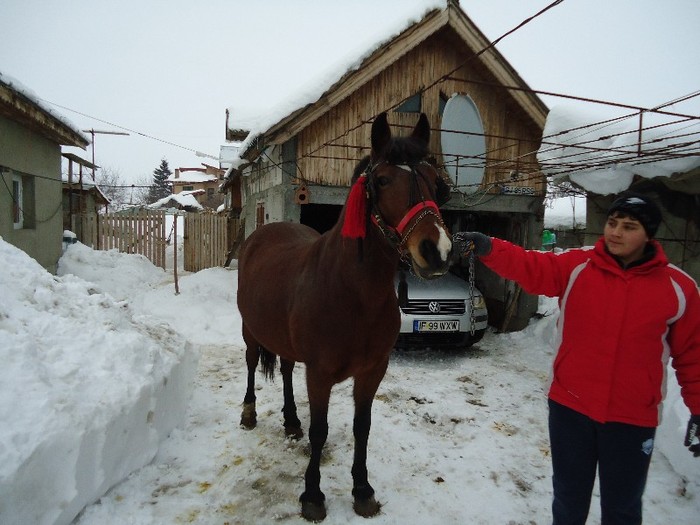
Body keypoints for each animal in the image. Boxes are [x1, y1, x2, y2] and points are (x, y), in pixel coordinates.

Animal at [238, 111, 452, 520]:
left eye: (436, 182)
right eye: (383, 180)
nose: (437, 252)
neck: (353, 295)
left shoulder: (372, 372)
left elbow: (361, 426)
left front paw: (362, 489)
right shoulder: (319, 374)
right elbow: (320, 431)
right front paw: (312, 495)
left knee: (285, 370)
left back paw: (291, 420)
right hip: (250, 331)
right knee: (252, 363)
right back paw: (249, 414)